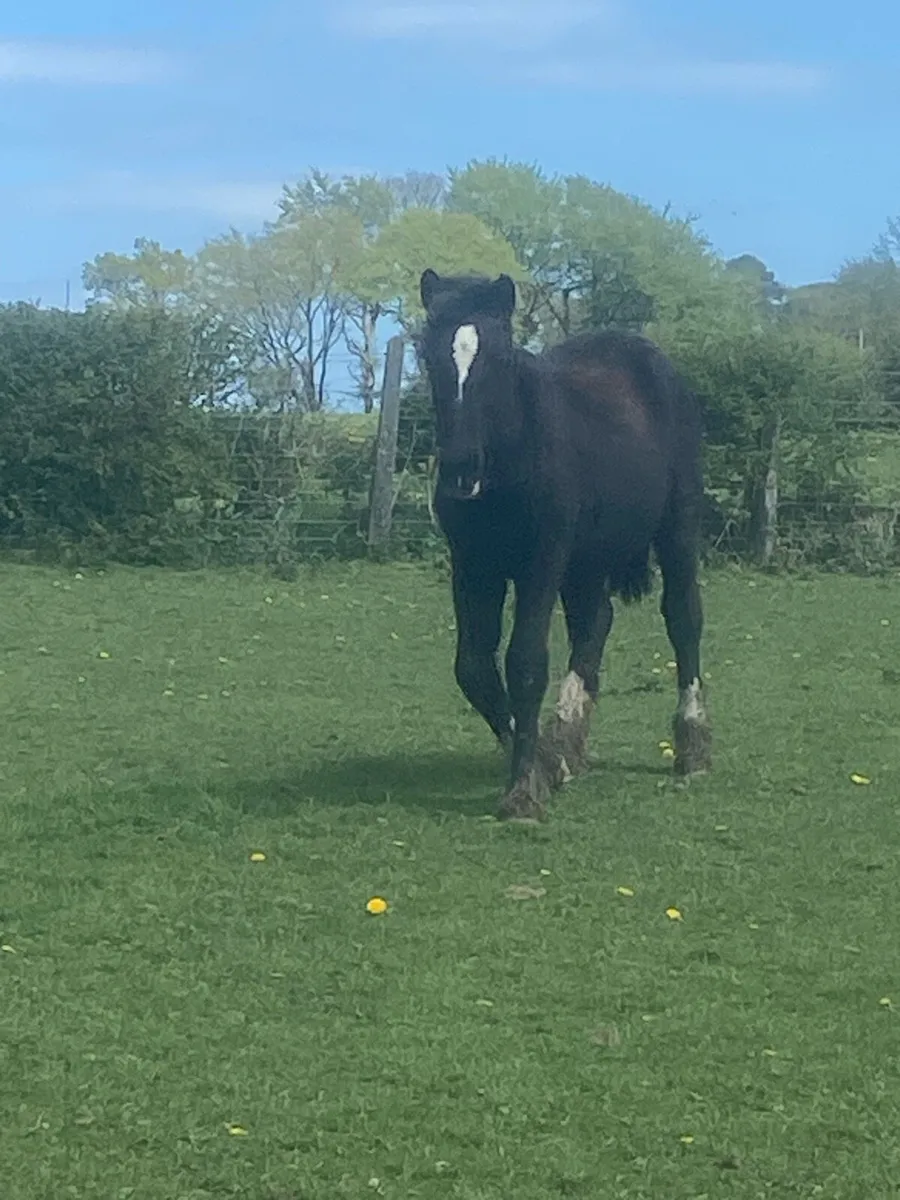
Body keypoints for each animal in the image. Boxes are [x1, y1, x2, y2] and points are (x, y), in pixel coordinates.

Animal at [417, 268, 711, 821]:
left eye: (501, 356)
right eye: (428, 353)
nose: (462, 466)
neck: (511, 458)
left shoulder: (542, 560)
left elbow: (525, 662)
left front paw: (522, 792)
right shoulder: (473, 566)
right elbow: (474, 667)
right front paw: (545, 765)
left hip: (676, 529)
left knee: (683, 619)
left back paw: (693, 747)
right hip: (586, 560)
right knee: (595, 624)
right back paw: (570, 742)